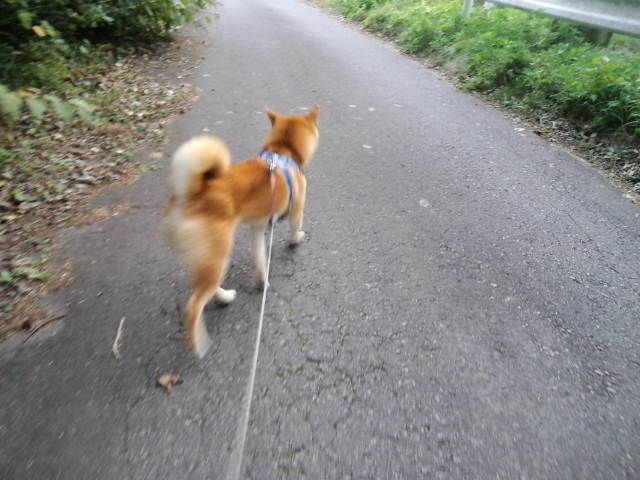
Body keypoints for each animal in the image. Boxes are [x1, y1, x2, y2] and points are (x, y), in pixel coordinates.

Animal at [161, 106, 319, 357]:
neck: (282, 152)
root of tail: (190, 195)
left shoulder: (257, 227)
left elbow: (259, 258)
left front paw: (262, 282)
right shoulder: (297, 207)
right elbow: (295, 229)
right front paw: (297, 240)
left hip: (204, 257)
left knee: (205, 287)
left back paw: (225, 297)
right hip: (219, 253)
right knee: (194, 306)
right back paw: (200, 342)